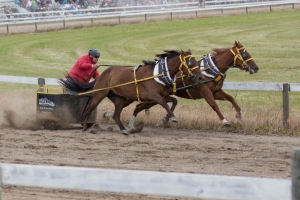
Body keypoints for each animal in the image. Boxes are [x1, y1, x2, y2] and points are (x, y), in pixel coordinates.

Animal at [105, 40, 258, 129]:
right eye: (245, 54)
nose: (256, 68)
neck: (208, 70)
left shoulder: (216, 91)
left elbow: (231, 98)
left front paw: (238, 114)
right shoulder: (206, 92)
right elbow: (214, 106)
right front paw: (225, 121)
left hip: (151, 98)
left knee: (138, 107)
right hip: (141, 95)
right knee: (132, 105)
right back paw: (109, 114)